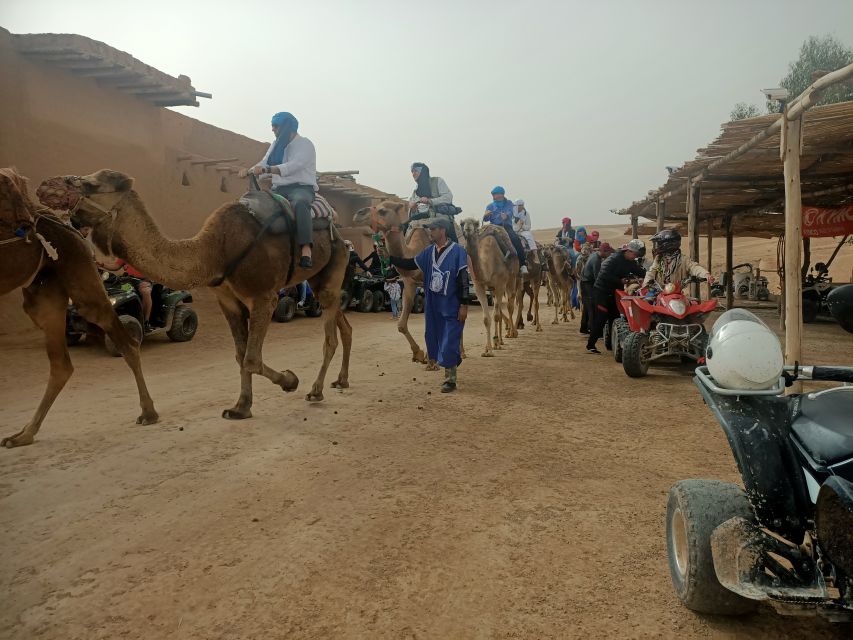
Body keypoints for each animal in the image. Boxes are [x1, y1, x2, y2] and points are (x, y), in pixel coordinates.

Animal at [0, 168, 158, 448]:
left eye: (93, 184)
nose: (47, 186)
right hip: (46, 296)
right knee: (62, 363)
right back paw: (23, 434)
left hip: (79, 284)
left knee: (125, 342)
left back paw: (148, 413)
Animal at [35, 171, 352, 420]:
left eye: (92, 184)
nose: (45, 186)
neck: (214, 250)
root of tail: (339, 229)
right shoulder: (228, 300)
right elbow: (240, 355)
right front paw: (240, 407)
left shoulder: (264, 296)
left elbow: (251, 358)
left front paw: (290, 381)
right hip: (320, 278)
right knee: (344, 325)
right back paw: (341, 381)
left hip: (333, 267)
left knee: (329, 337)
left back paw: (316, 390)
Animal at [460, 216, 520, 356]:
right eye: (462, 223)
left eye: (476, 223)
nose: (467, 229)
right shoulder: (478, 286)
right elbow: (487, 318)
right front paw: (487, 349)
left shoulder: (500, 285)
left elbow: (496, 315)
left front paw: (493, 347)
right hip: (493, 289)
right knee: (500, 310)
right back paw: (499, 341)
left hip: (512, 279)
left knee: (509, 305)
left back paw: (511, 333)